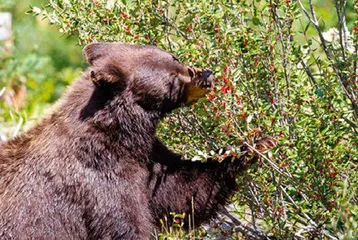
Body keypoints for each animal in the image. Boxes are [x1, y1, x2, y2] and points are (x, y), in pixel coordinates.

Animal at [0, 43, 274, 240]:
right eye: (172, 74)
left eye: (174, 57)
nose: (206, 74)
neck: (121, 136)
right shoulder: (100, 181)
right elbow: (126, 222)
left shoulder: (147, 160)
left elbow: (185, 189)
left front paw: (254, 145)